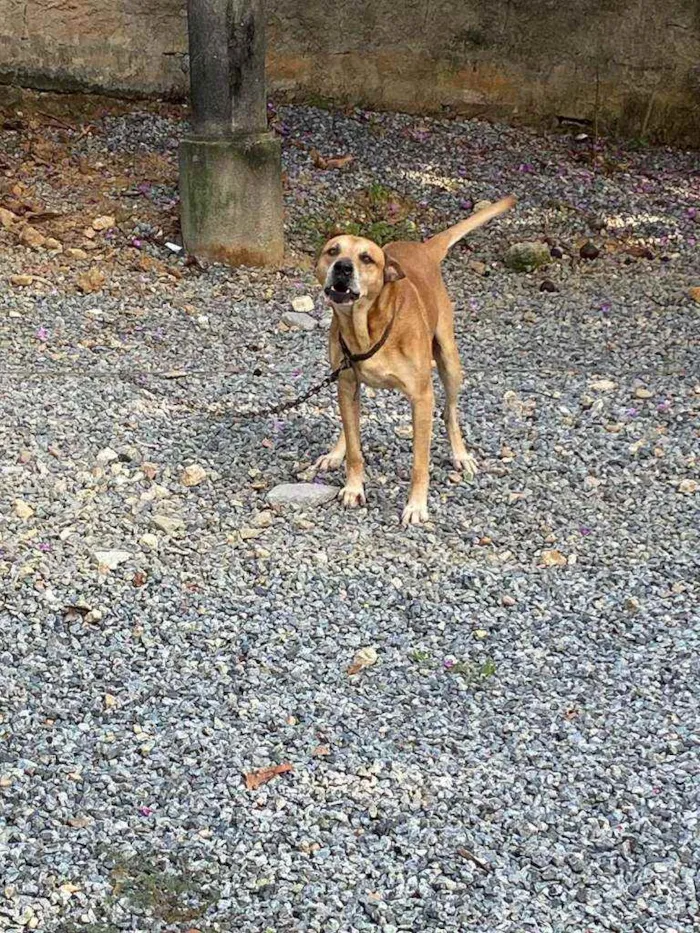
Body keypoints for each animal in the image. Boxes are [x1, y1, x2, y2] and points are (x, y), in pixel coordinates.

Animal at [314, 196, 516, 524]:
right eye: (333, 250)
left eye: (366, 258)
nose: (342, 267)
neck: (369, 327)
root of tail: (423, 248)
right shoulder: (345, 381)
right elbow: (355, 448)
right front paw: (353, 486)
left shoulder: (422, 399)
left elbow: (420, 462)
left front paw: (416, 506)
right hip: (347, 386)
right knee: (350, 422)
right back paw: (336, 451)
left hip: (450, 362)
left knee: (449, 412)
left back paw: (461, 455)